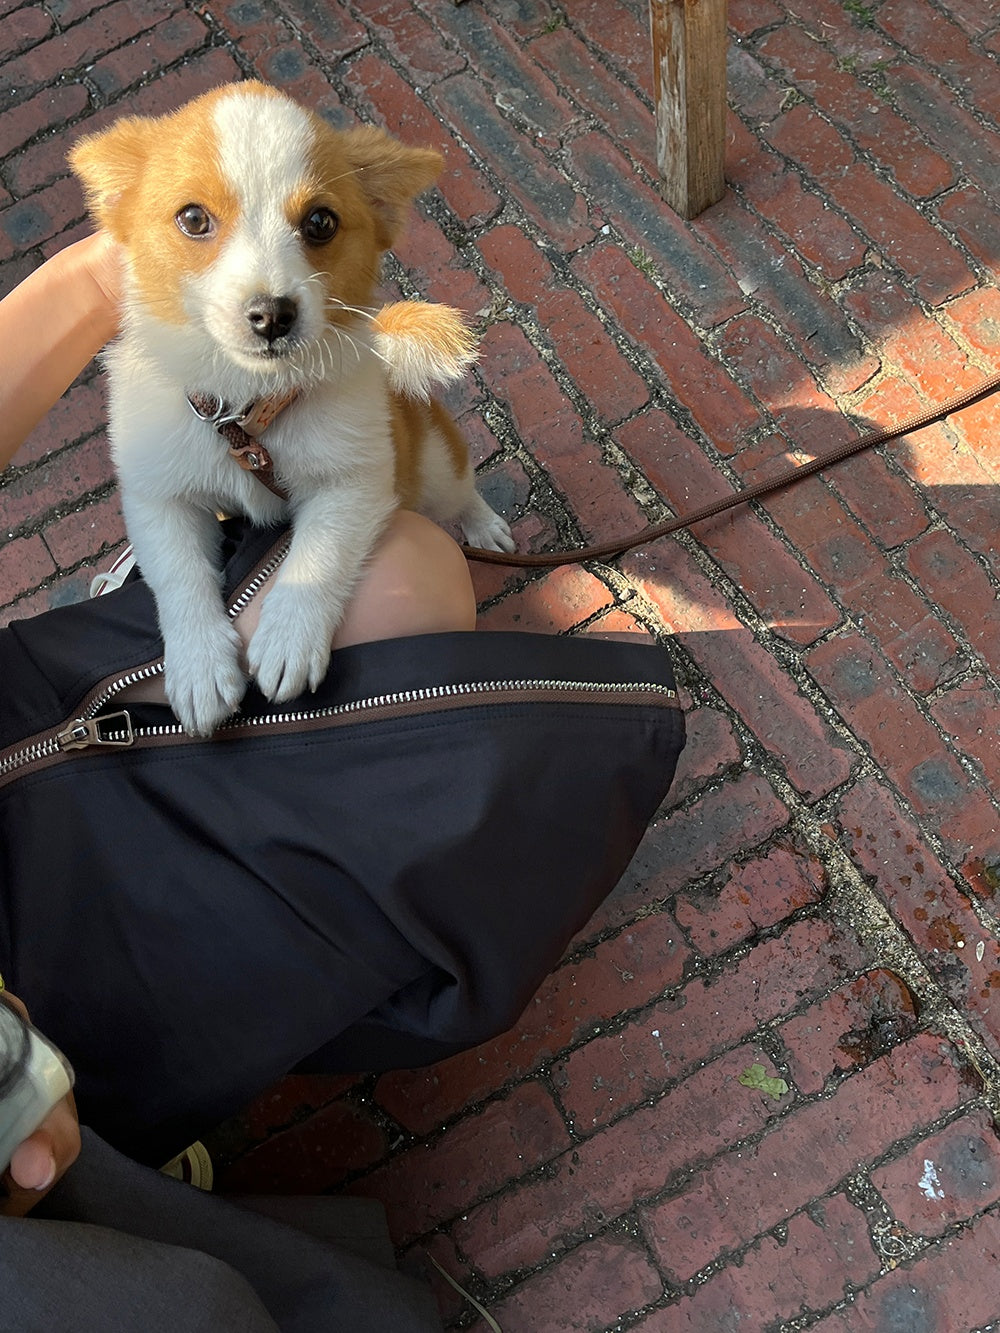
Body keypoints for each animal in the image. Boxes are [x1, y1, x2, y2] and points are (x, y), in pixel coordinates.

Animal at [70, 80, 512, 741]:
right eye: (193, 219)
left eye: (321, 222)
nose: (271, 315)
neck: (247, 407)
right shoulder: (157, 496)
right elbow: (178, 576)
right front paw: (199, 666)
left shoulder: (356, 481)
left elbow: (316, 558)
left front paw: (287, 639)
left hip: (430, 466)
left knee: (461, 489)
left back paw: (485, 527)